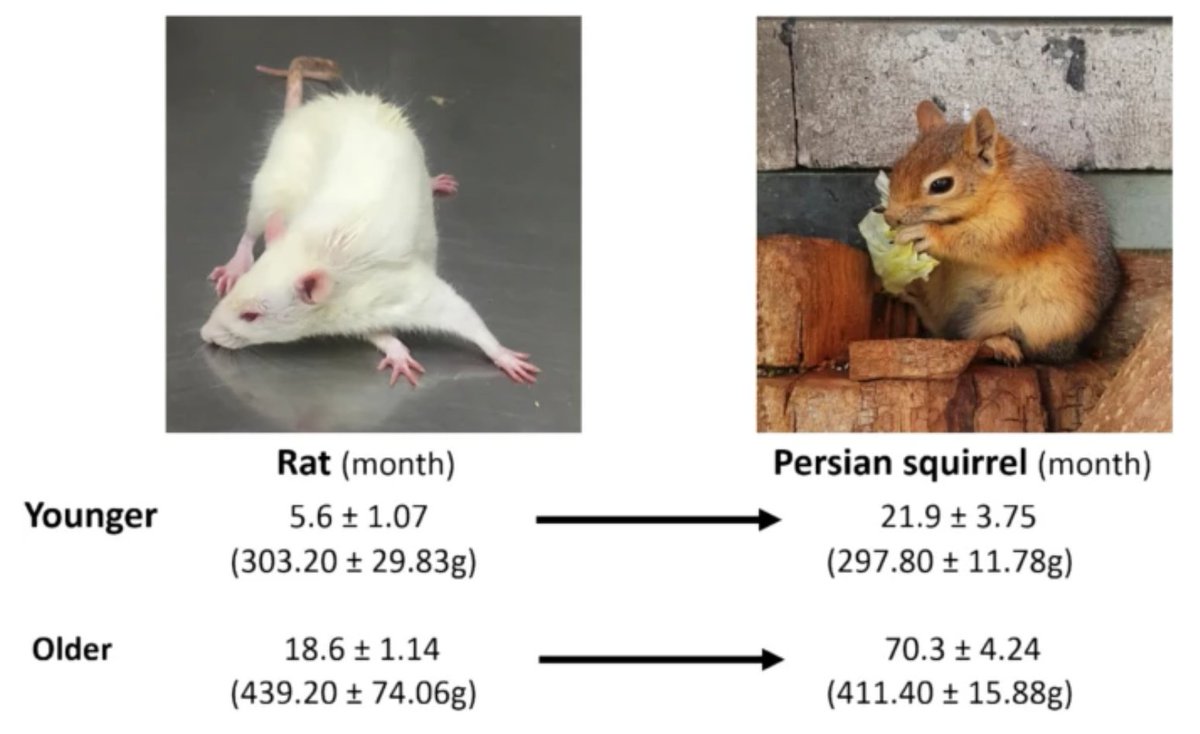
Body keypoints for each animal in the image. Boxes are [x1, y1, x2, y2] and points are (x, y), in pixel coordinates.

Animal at [883, 100, 1120, 364]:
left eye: (941, 185)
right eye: (898, 166)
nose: (890, 217)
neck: (999, 180)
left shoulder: (1027, 212)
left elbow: (986, 241)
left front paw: (927, 234)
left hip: (1033, 319)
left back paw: (1000, 343)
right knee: (941, 326)